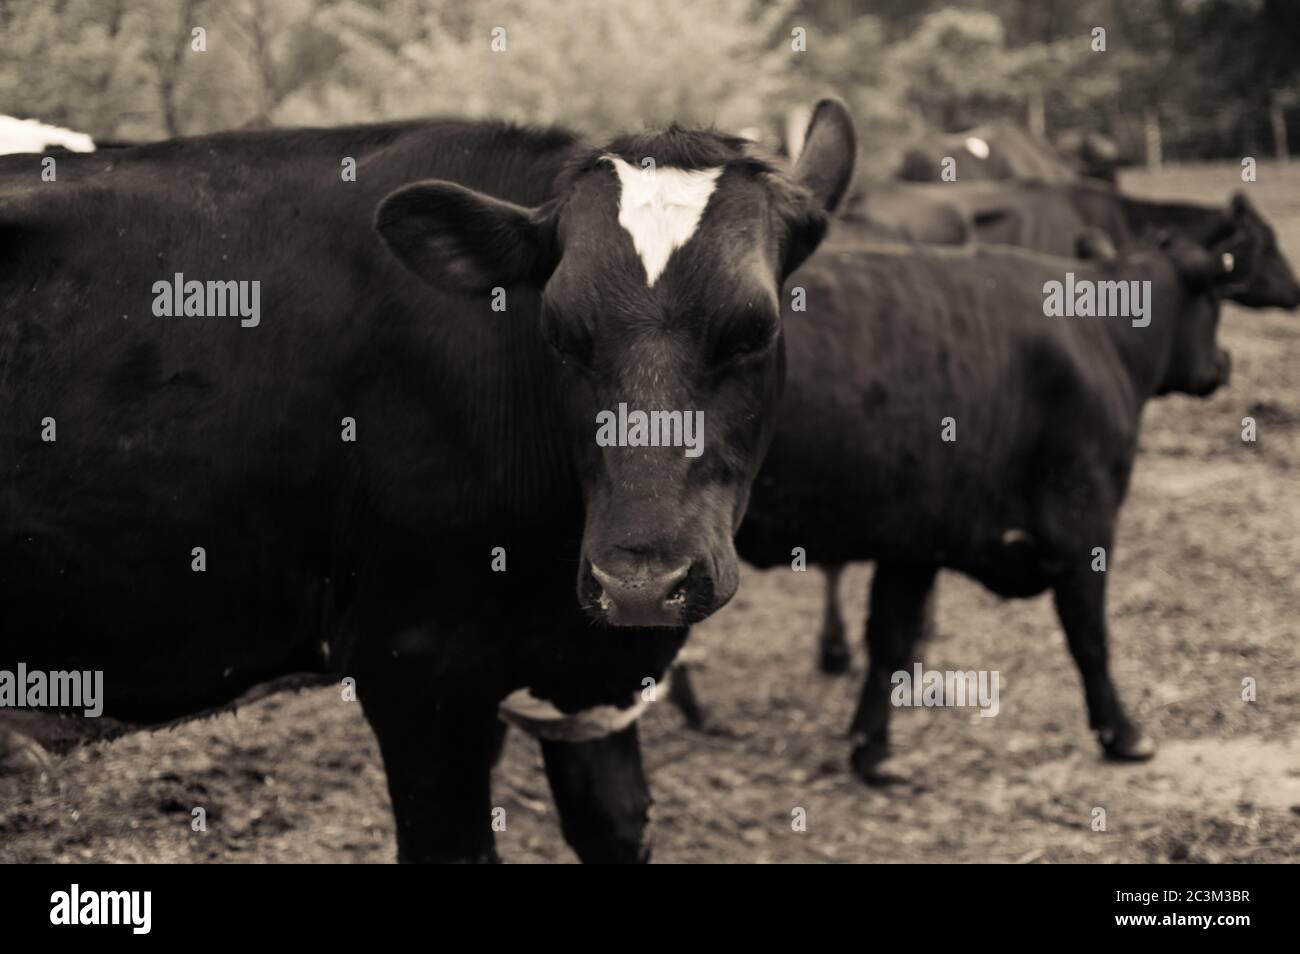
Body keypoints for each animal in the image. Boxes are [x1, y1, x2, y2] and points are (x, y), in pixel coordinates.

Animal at [0, 100, 857, 863]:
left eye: (755, 330)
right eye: (558, 334)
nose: (641, 584)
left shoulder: (585, 685)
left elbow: (617, 828)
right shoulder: (417, 671)